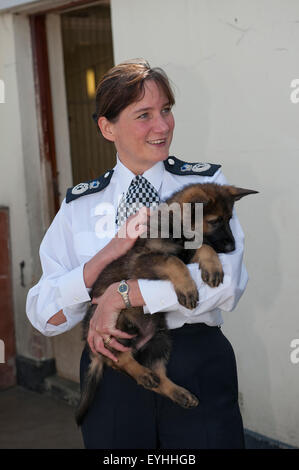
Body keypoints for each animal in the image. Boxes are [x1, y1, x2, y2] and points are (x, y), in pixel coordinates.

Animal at [75, 182, 258, 424]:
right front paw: (188, 288)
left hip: (160, 339)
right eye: (215, 221)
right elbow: (172, 260)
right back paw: (140, 372)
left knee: (158, 377)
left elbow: (203, 248)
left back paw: (176, 391)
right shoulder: (142, 260)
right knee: (117, 360)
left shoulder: (189, 253)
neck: (178, 229)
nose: (232, 249)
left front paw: (212, 266)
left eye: (229, 219)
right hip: (116, 323)